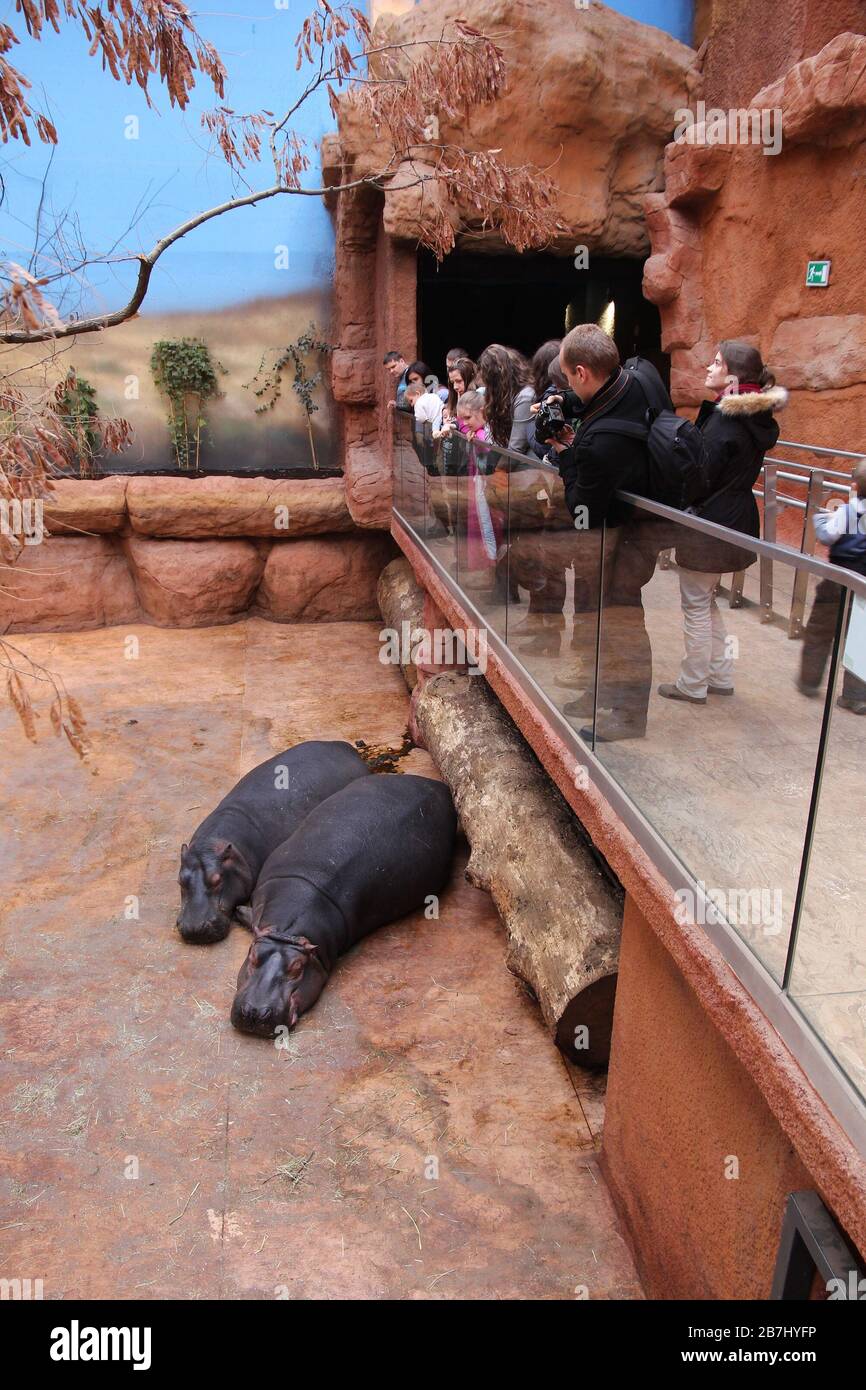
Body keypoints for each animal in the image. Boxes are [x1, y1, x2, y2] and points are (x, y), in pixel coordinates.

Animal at [230, 778, 461, 1039]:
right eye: (252, 955)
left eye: (297, 967)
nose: (256, 1012)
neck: (287, 933)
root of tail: (436, 784)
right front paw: (240, 912)